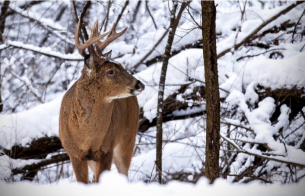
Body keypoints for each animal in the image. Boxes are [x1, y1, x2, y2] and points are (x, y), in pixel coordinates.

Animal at [59, 18, 145, 184]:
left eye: (122, 65)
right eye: (110, 71)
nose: (139, 84)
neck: (87, 138)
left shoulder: (106, 150)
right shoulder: (73, 153)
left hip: (127, 138)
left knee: (124, 172)